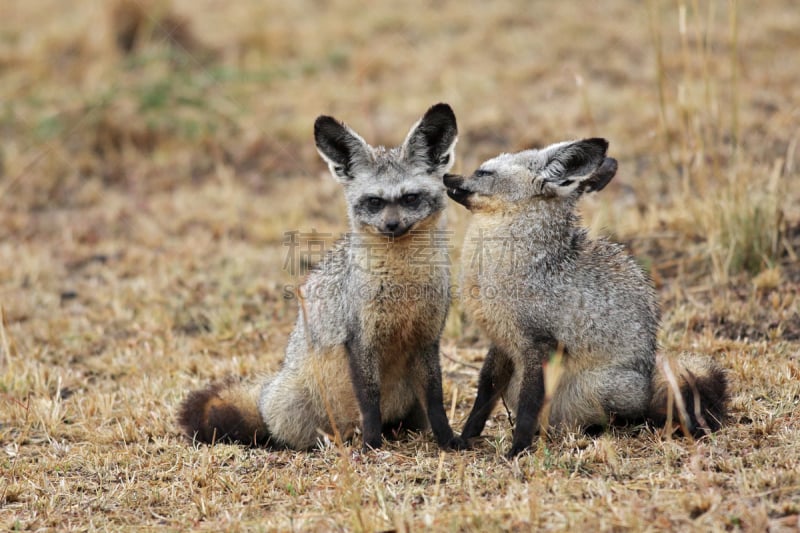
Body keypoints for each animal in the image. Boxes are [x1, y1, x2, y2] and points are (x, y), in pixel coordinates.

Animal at [176, 103, 466, 448]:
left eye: (410, 198)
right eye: (374, 201)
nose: (392, 226)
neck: (403, 285)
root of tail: (268, 391)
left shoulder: (427, 339)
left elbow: (436, 399)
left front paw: (448, 439)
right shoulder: (360, 341)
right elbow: (369, 401)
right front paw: (371, 444)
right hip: (296, 409)